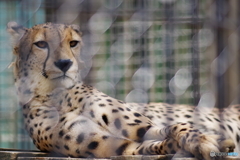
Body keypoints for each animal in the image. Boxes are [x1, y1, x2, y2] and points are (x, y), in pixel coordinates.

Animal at [6, 21, 239, 160]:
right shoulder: (113, 146)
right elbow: (152, 146)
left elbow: (176, 126)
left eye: (73, 43)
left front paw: (204, 140)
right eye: (41, 44)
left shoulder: (143, 127)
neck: (60, 96)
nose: (64, 63)